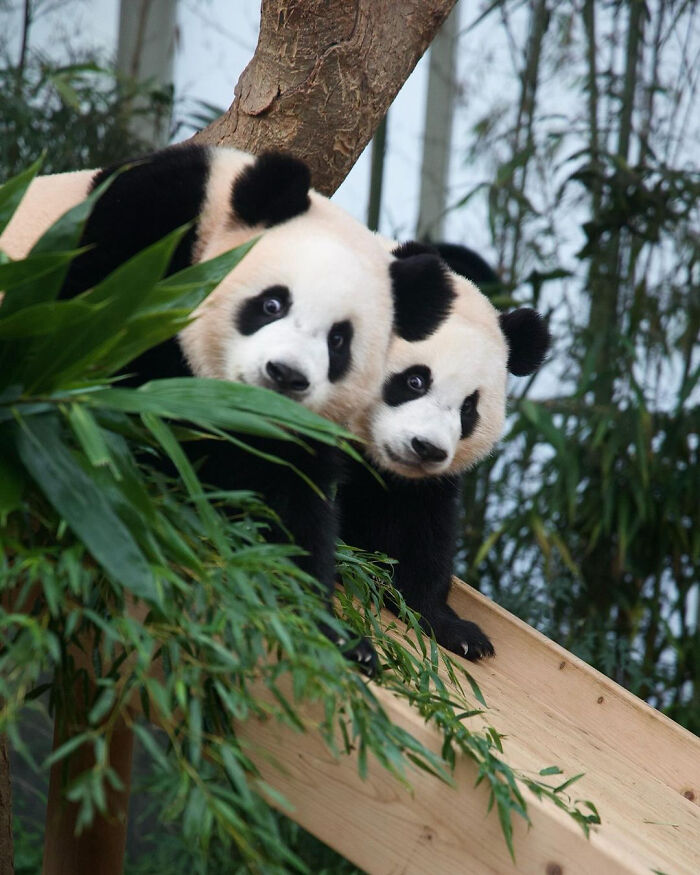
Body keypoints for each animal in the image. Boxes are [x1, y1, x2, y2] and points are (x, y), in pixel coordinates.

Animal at [0, 147, 448, 676]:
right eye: (272, 303)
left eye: (339, 341)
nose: (285, 374)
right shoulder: (132, 236)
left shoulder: (293, 430)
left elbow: (291, 501)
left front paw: (332, 634)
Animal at [340, 240, 552, 656]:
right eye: (416, 380)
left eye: (469, 407)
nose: (426, 448)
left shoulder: (424, 484)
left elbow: (424, 535)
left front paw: (455, 631)